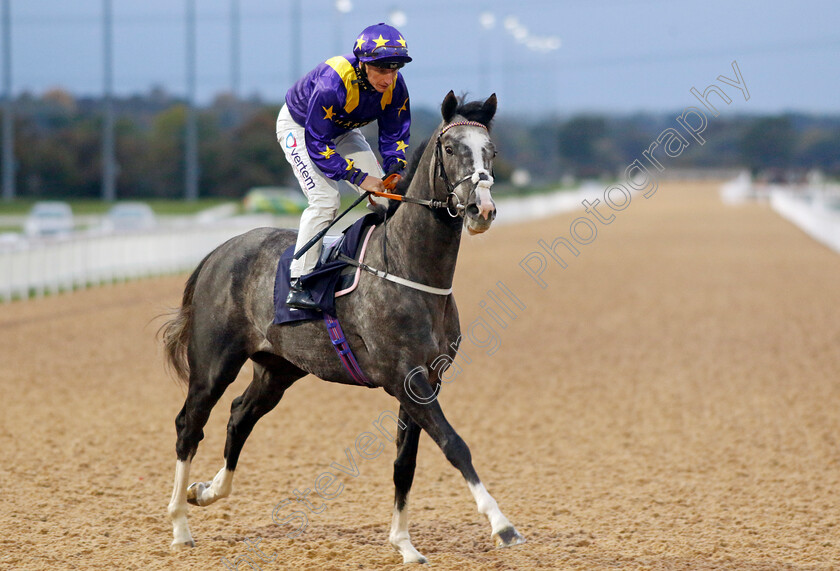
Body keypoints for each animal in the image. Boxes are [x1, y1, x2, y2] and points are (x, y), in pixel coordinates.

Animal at [162, 91, 524, 564]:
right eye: (450, 148)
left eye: (491, 151)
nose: (483, 209)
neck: (407, 268)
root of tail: (218, 253)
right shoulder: (404, 377)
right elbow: (453, 444)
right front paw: (502, 525)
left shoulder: (425, 380)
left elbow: (404, 463)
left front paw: (404, 544)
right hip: (213, 364)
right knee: (190, 424)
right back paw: (180, 526)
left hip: (278, 368)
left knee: (240, 414)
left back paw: (205, 491)